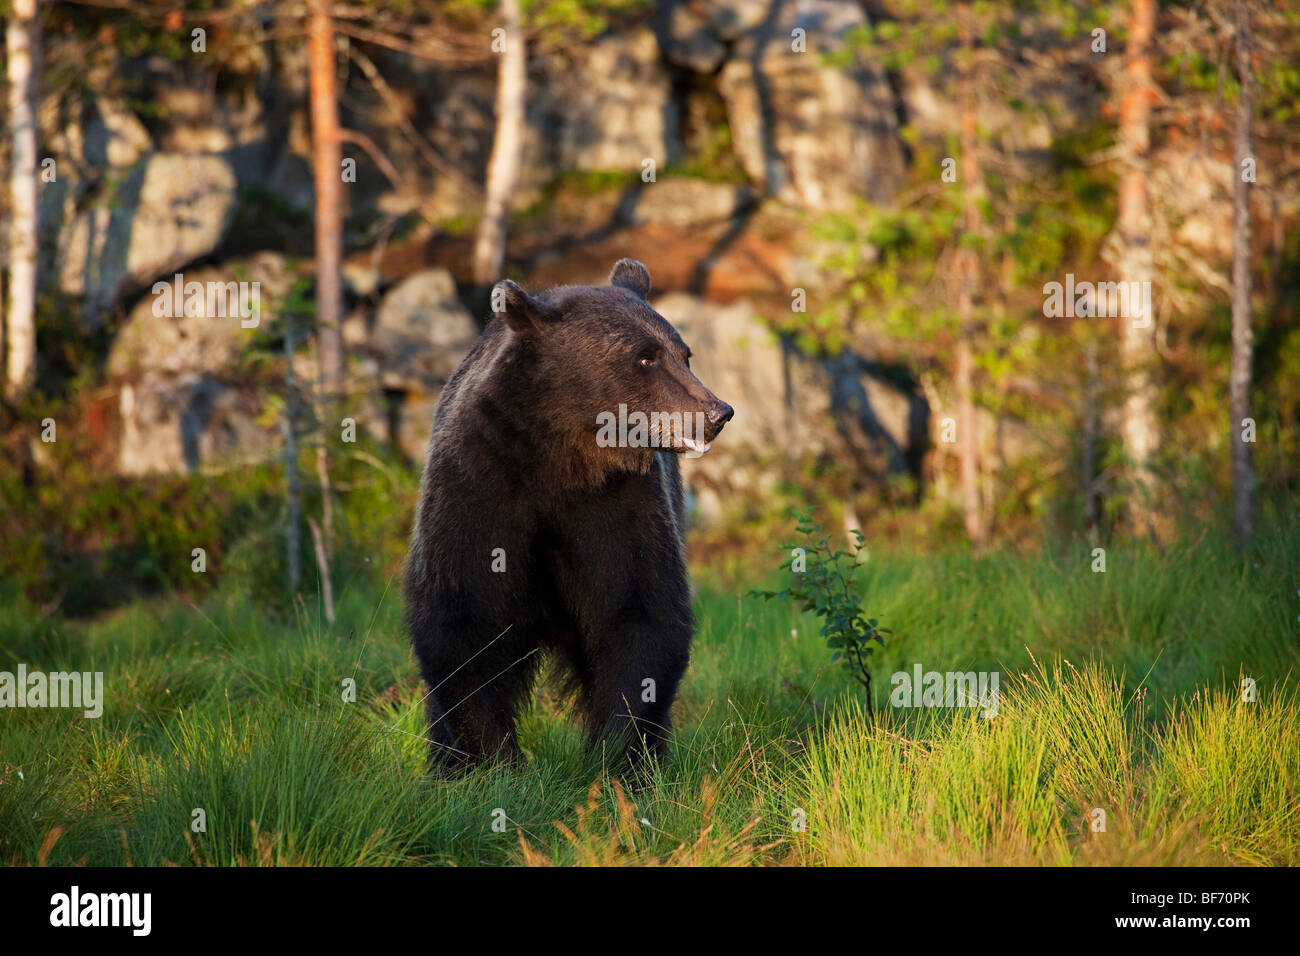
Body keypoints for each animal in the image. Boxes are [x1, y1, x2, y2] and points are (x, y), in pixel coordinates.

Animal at [404, 259, 733, 774]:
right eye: (645, 357)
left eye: (685, 354)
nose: (717, 412)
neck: (560, 456)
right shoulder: (479, 485)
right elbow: (463, 614)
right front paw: (495, 761)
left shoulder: (617, 502)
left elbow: (640, 612)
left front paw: (615, 758)